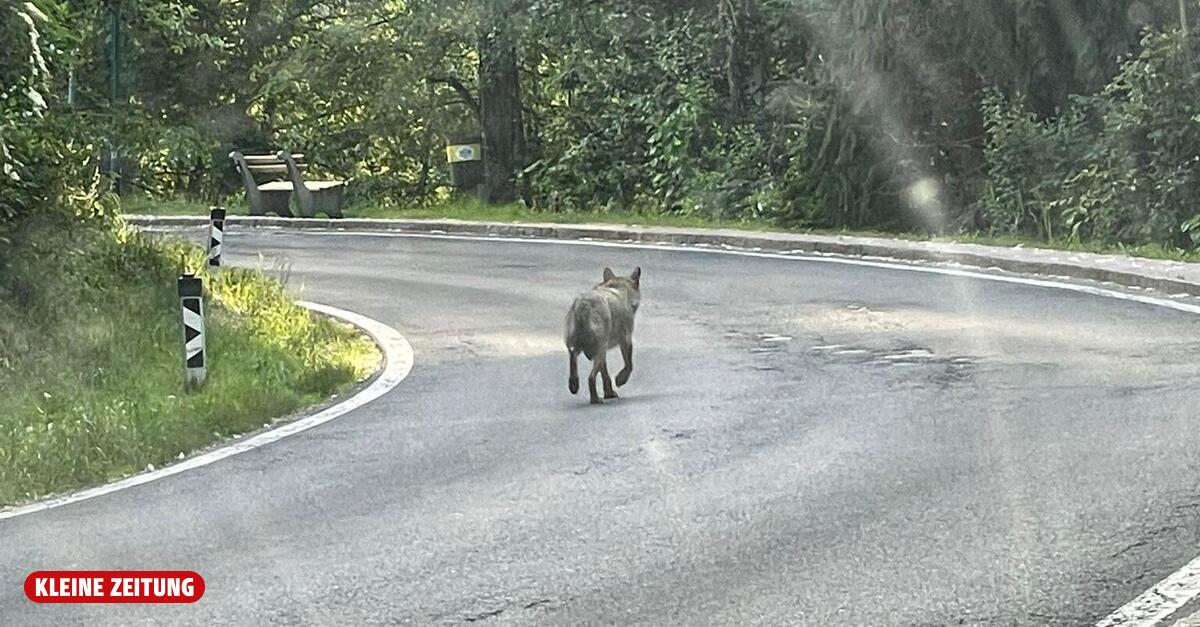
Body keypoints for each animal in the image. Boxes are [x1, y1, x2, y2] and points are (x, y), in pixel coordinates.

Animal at [565, 267, 641, 404]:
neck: (618, 287)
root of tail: (583, 305)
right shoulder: (626, 340)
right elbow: (629, 365)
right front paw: (620, 380)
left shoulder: (604, 351)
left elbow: (605, 374)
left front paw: (609, 393)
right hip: (598, 350)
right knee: (591, 378)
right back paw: (595, 399)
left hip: (581, 347)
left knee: (573, 359)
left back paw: (574, 384)